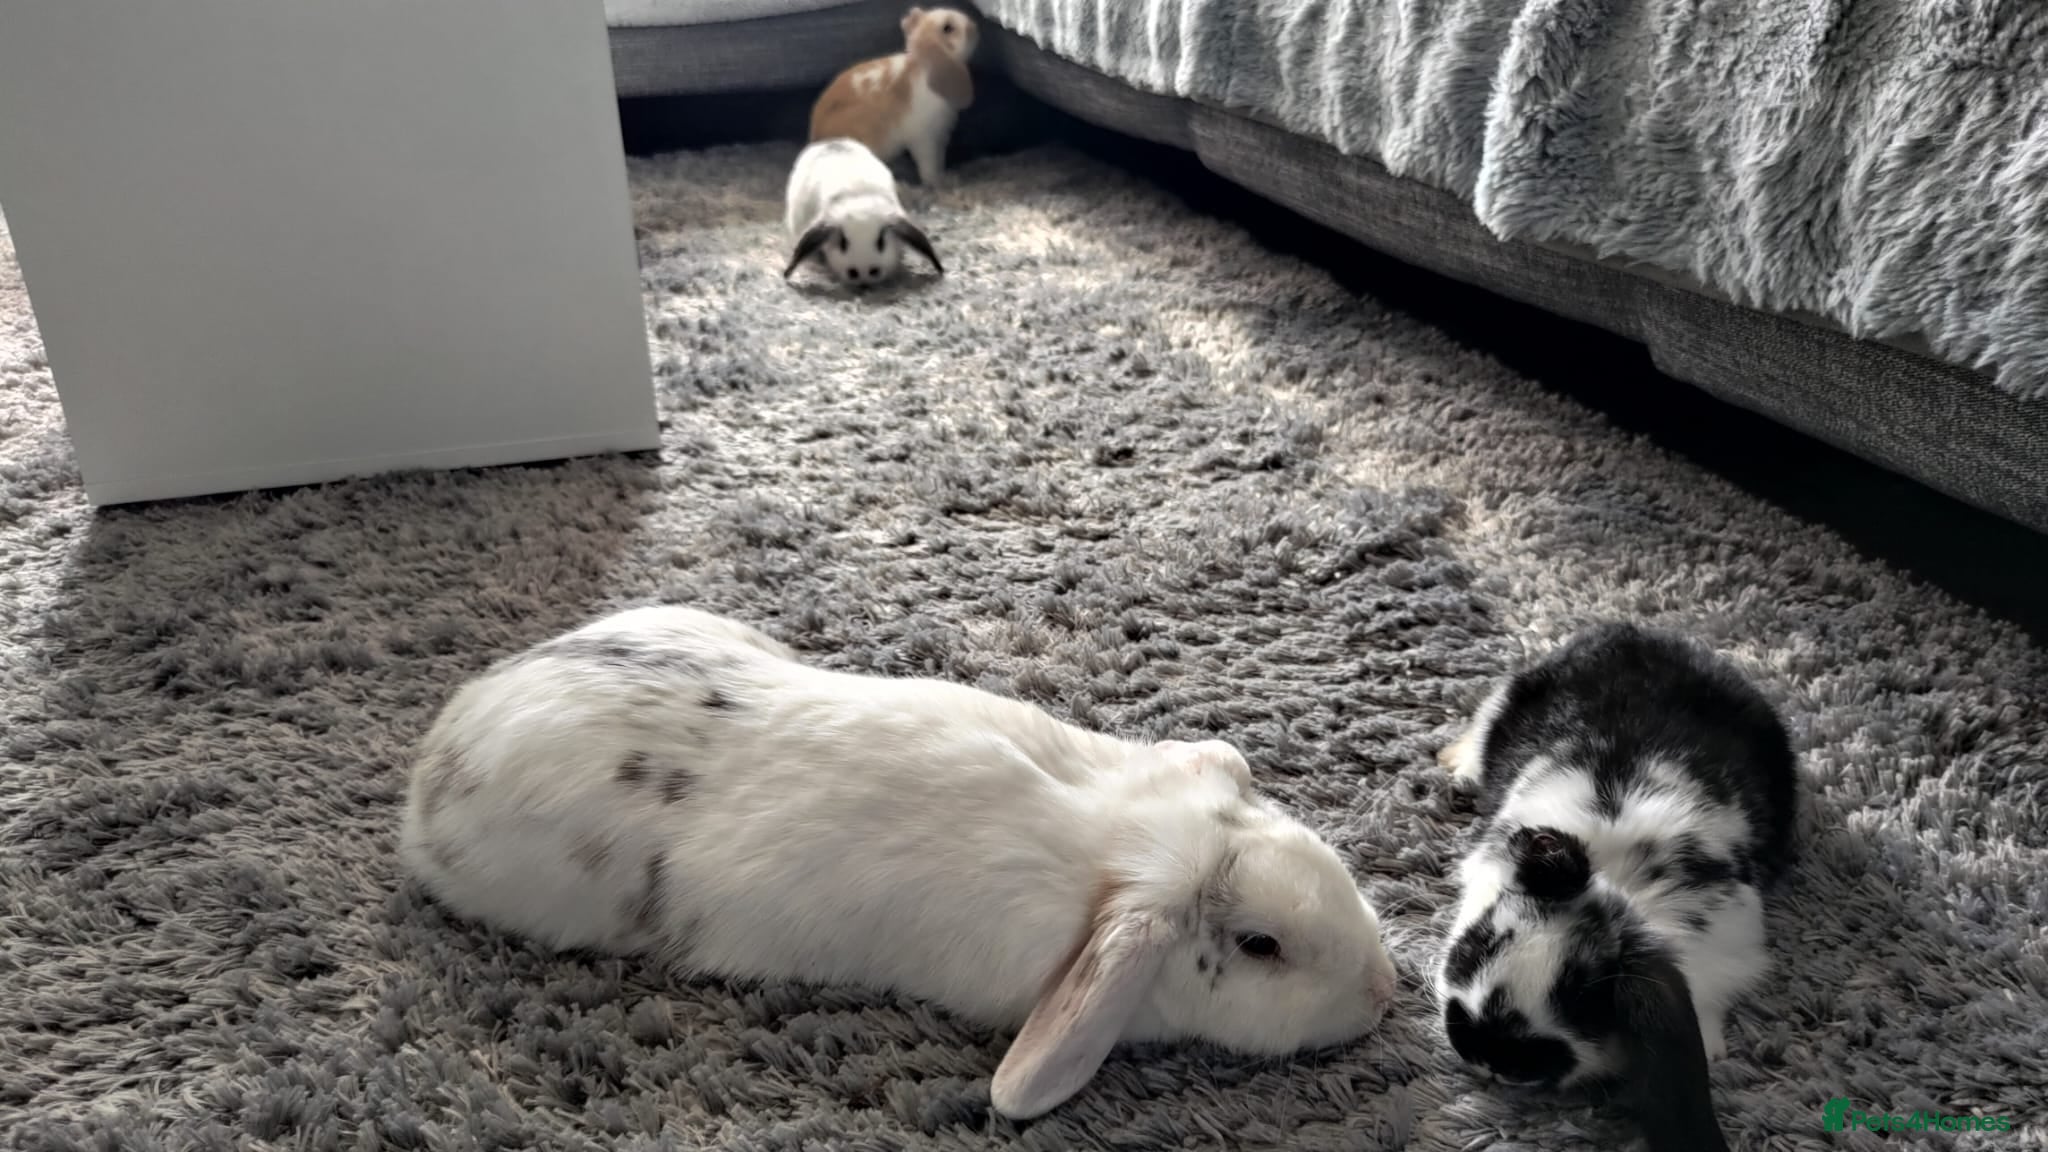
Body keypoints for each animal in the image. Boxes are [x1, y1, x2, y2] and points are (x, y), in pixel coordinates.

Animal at [810, 6, 978, 186]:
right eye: (948, 28)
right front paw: (939, 181)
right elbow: (929, 165)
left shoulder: (939, 136)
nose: (973, 27)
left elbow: (939, 160)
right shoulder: (924, 137)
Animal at [1434, 622, 1798, 1152]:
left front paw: (1710, 1053)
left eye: (1585, 999)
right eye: (1481, 942)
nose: (1490, 1054)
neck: (1617, 889)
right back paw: (1459, 772)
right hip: (1501, 704)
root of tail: (1636, 635)